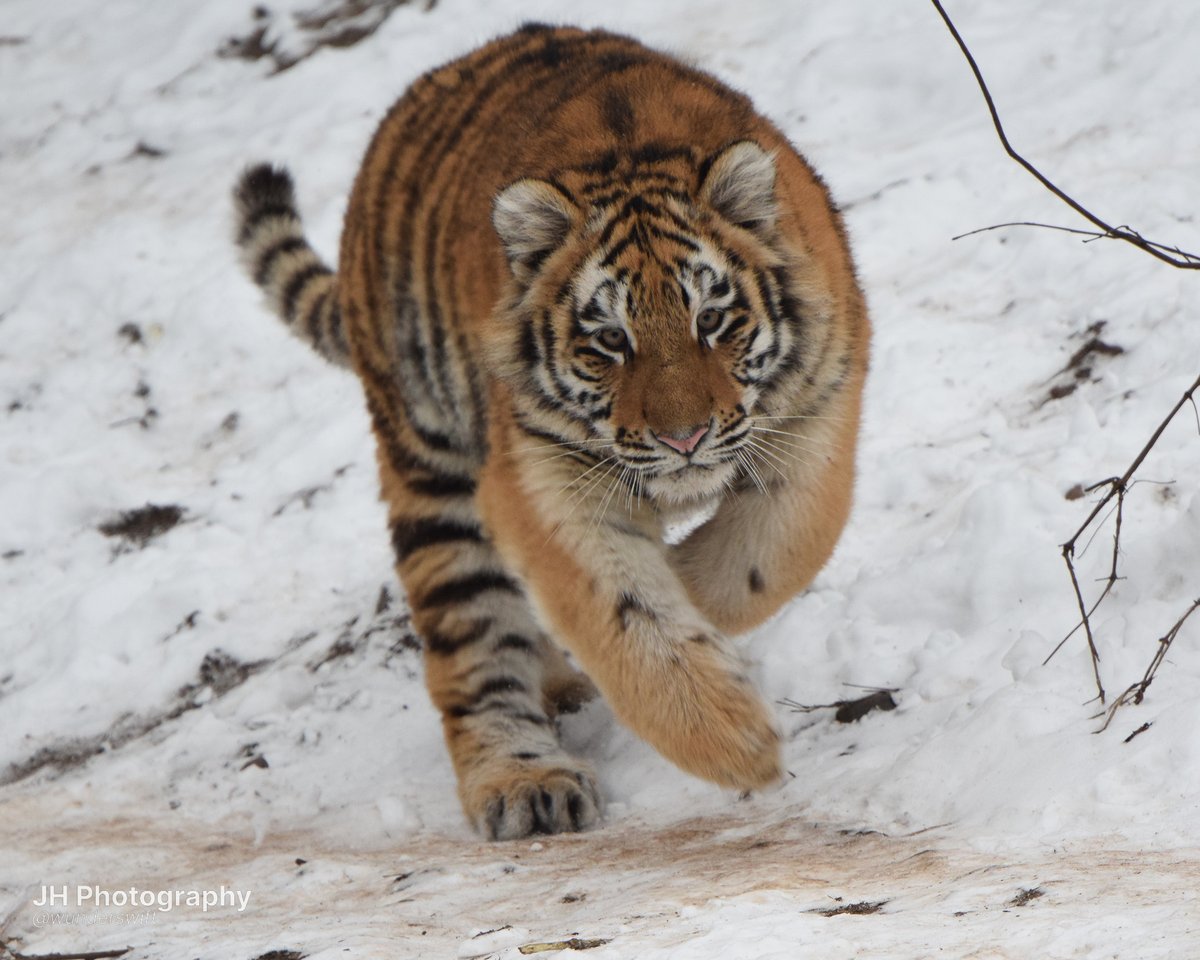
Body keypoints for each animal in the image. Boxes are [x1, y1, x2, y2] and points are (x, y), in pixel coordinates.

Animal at [233, 23, 869, 840]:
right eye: (610, 342)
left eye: (712, 320)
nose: (685, 438)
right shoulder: (540, 477)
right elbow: (623, 613)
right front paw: (738, 743)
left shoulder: (817, 411)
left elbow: (767, 556)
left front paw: (681, 600)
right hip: (432, 470)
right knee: (471, 646)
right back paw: (524, 781)